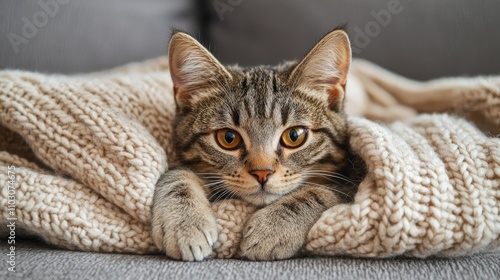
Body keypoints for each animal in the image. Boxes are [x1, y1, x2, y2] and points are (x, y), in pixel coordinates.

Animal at [150, 27, 358, 260]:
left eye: (294, 136)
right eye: (228, 138)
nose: (262, 172)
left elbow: (322, 191)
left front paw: (272, 228)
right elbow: (176, 174)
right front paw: (184, 223)